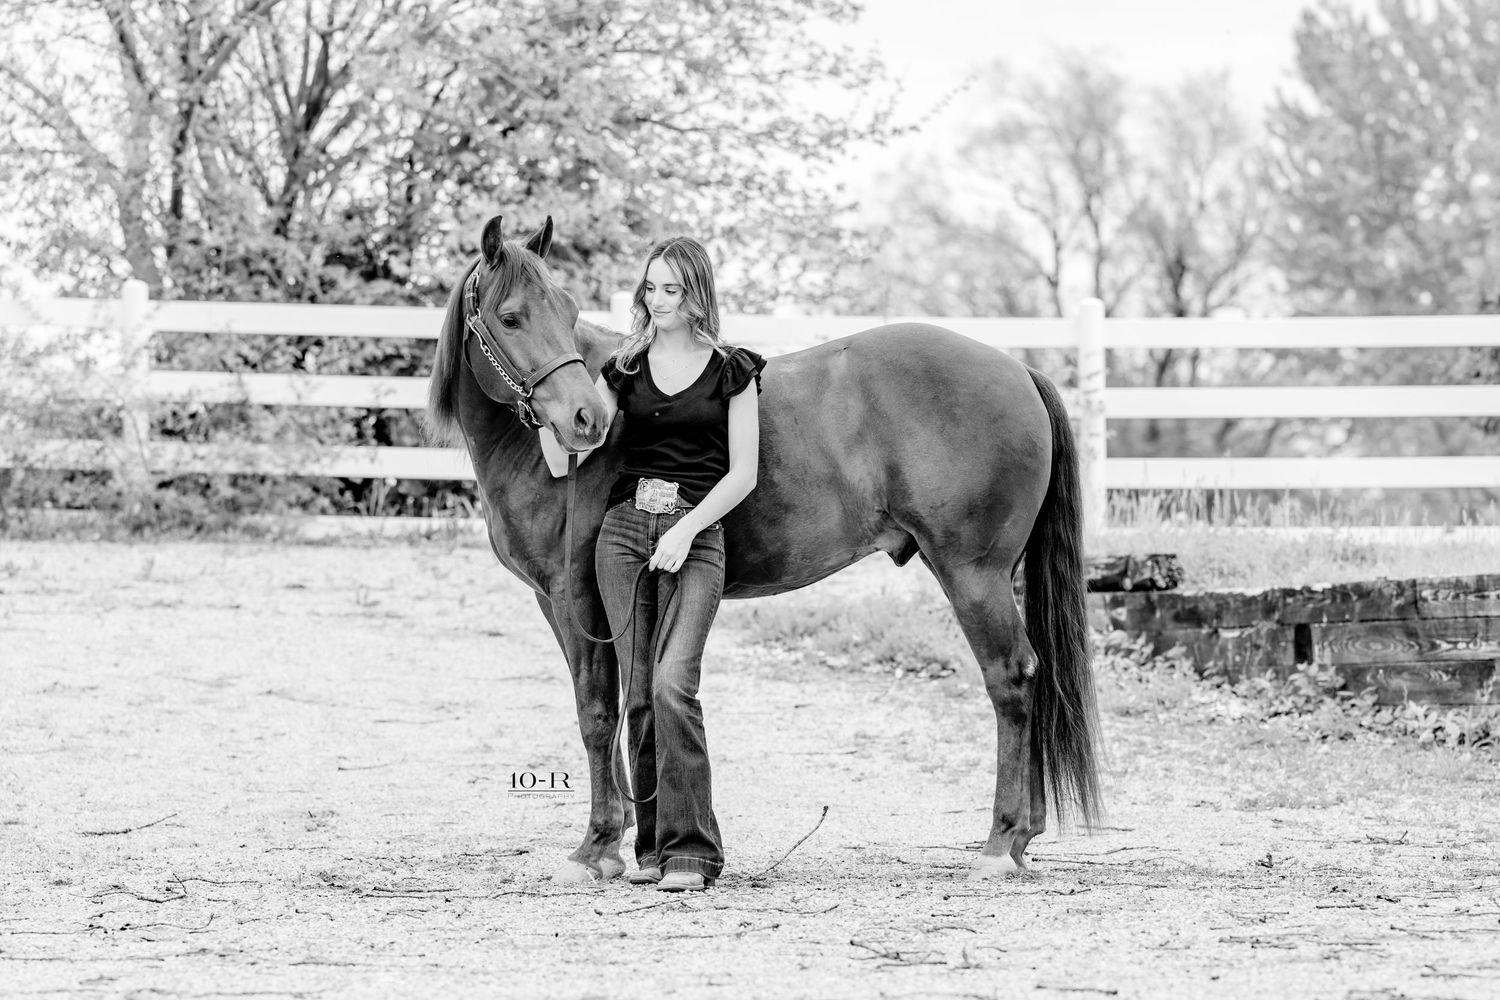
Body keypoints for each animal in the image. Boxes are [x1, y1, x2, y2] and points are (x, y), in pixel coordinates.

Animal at [425, 215, 1102, 882]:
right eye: (512, 317)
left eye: (564, 312)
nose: (588, 419)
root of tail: (1017, 370)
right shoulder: (562, 601)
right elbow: (613, 707)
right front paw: (626, 845)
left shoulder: (577, 597)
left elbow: (595, 713)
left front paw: (596, 848)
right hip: (1001, 575)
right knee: (1033, 674)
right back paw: (1024, 835)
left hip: (972, 574)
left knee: (1011, 678)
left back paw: (999, 843)